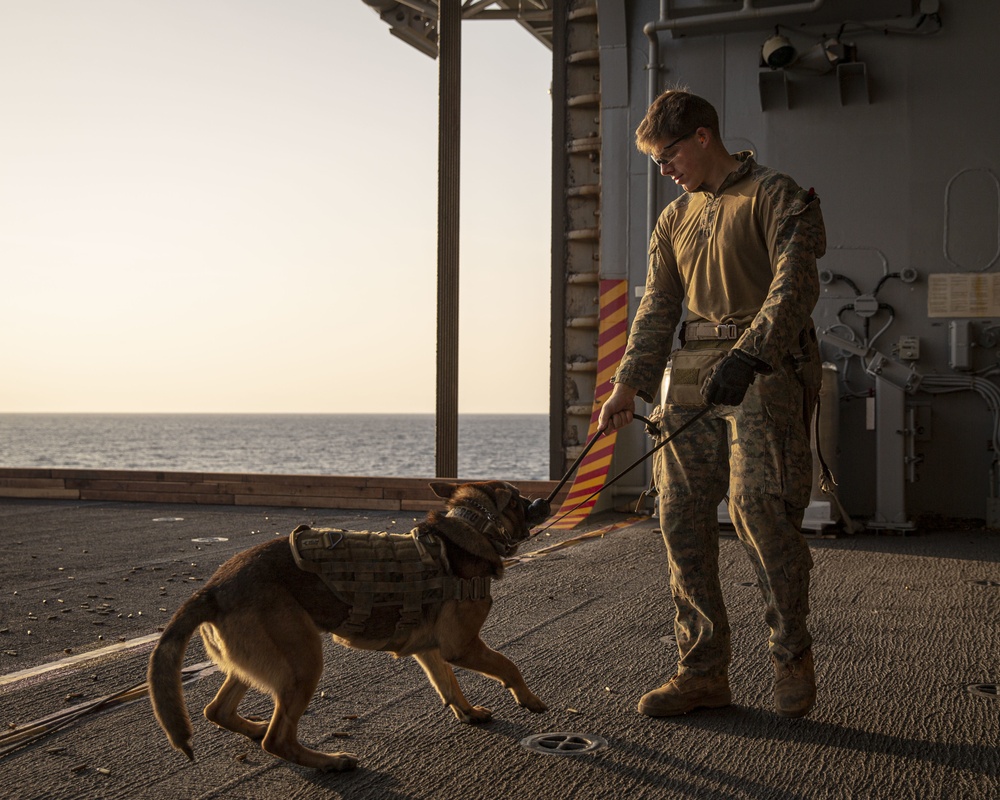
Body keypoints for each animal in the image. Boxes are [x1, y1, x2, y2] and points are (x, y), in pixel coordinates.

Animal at [146, 478, 548, 772]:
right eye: (517, 499)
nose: (543, 501)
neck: (473, 528)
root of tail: (213, 588)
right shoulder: (461, 646)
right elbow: (507, 665)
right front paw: (529, 698)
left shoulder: (432, 650)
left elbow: (448, 684)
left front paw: (467, 712)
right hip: (303, 662)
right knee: (277, 739)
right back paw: (329, 762)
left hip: (263, 663)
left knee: (219, 711)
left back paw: (256, 729)